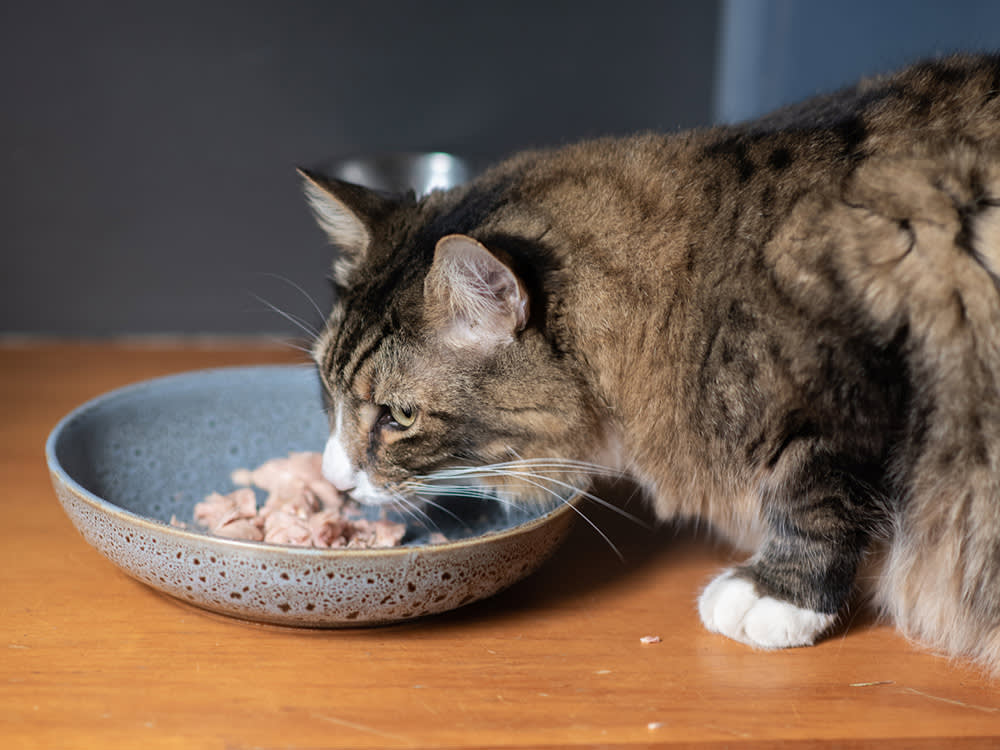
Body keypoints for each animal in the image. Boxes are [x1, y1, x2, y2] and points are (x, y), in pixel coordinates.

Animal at [300, 53, 1000, 676]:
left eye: (399, 416)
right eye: (325, 391)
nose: (334, 481)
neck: (701, 282)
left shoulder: (858, 371)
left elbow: (816, 496)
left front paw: (776, 598)